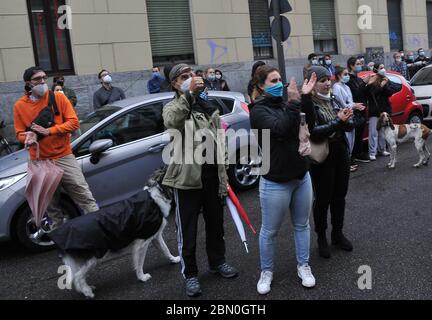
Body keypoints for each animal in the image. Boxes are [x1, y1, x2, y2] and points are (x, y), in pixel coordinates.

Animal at [49, 169, 181, 298]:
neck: (156, 197)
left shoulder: (155, 236)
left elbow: (165, 249)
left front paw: (174, 259)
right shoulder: (141, 243)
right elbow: (139, 263)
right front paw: (142, 277)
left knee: (77, 276)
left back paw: (86, 289)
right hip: (94, 257)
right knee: (77, 277)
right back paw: (87, 292)